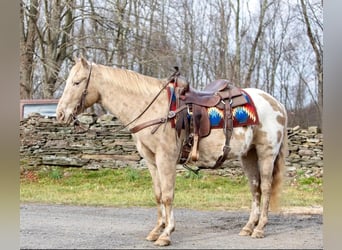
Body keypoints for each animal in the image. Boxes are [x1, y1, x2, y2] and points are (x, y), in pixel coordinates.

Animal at [56, 56, 288, 246]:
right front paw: (156, 231)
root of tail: (277, 103)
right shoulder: (151, 160)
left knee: (266, 188)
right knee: (255, 188)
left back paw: (259, 228)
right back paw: (248, 227)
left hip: (266, 153)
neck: (153, 109)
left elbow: (168, 195)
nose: (60, 114)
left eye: (77, 82)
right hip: (248, 155)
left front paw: (166, 234)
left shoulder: (165, 158)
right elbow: (158, 194)